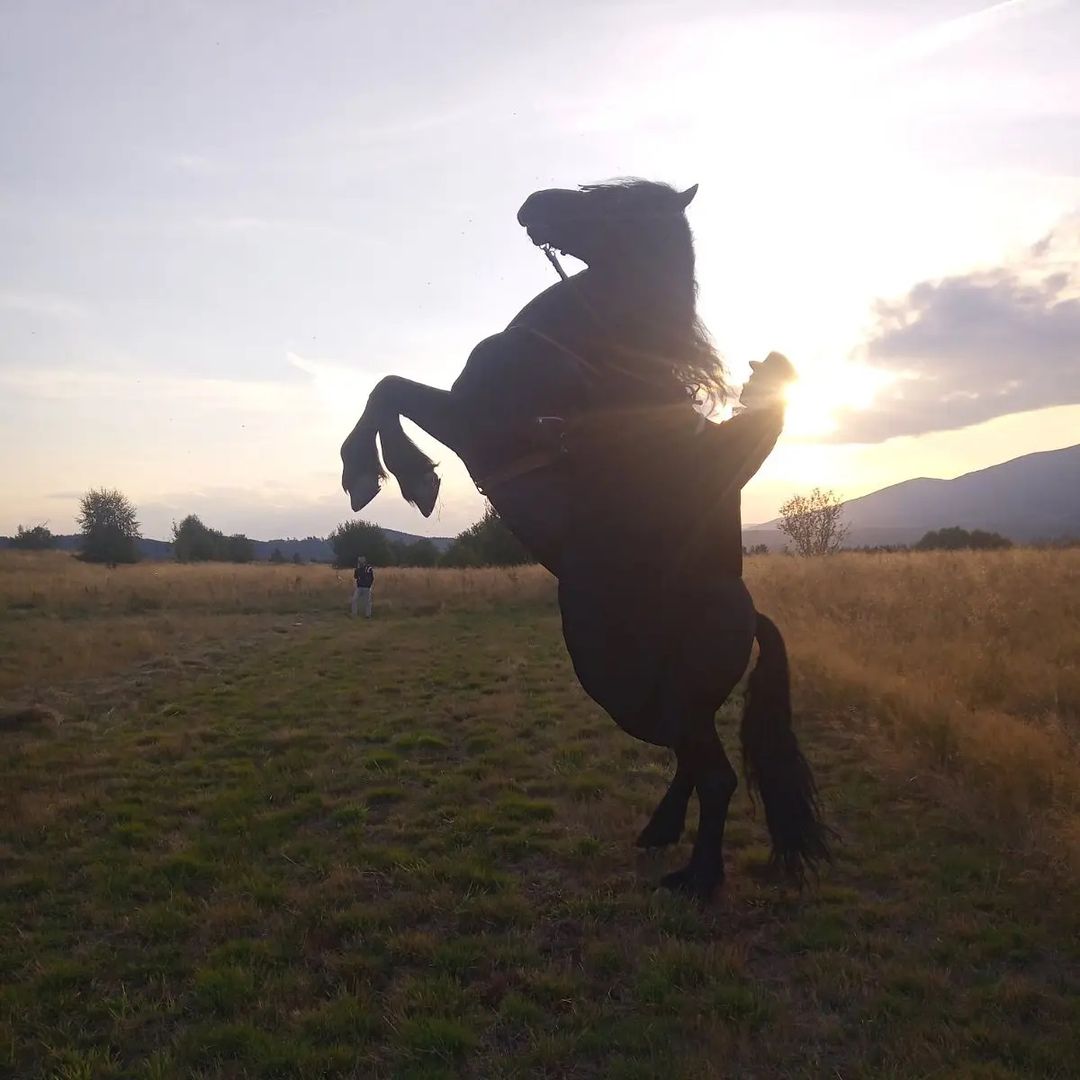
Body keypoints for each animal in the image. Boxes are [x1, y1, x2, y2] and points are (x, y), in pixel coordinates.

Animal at [340, 179, 829, 899]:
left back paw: (697, 877)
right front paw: (394, 476)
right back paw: (658, 833)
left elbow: (388, 391)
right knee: (693, 764)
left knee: (715, 774)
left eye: (619, 204)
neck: (582, 353)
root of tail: (752, 618)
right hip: (651, 700)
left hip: (639, 694)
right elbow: (388, 390)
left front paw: (391, 476)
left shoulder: (472, 422)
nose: (532, 204)